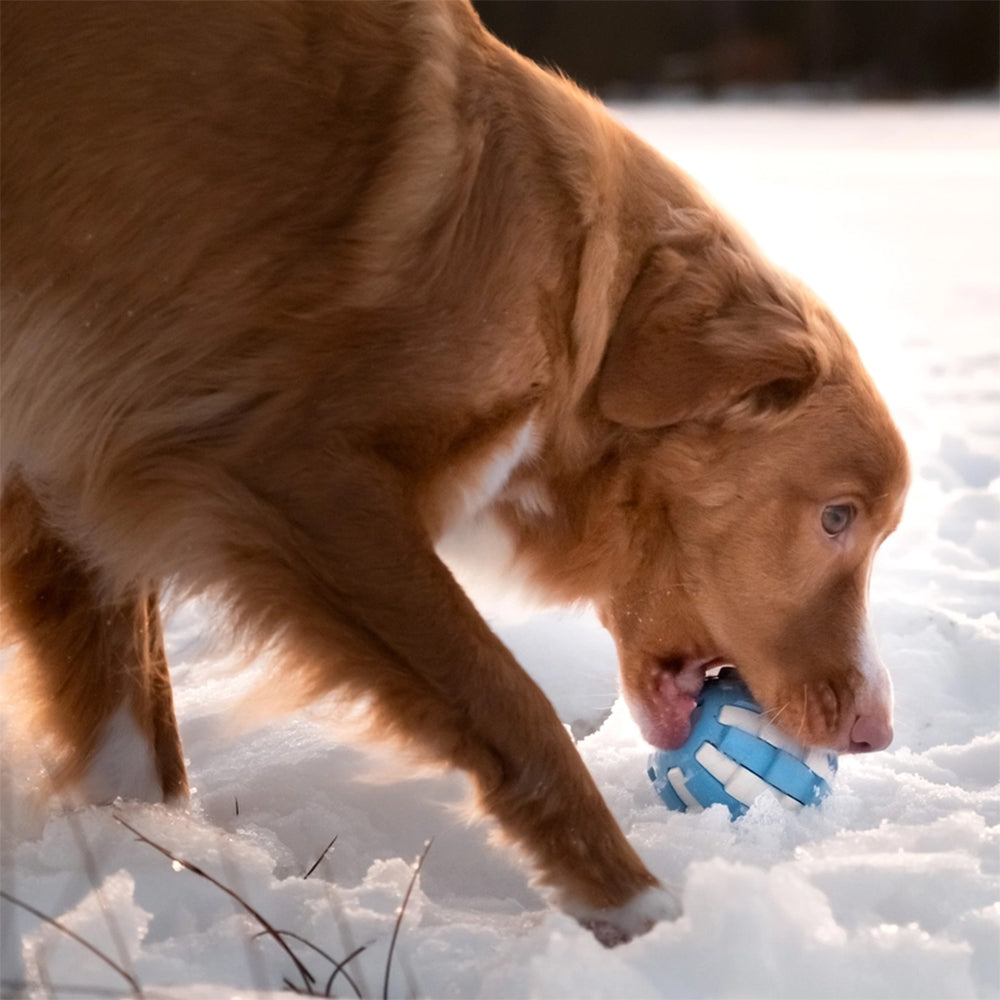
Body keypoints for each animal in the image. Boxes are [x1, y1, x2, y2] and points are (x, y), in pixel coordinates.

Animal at [0, 1, 908, 944]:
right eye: (838, 517)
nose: (876, 731)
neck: (569, 286)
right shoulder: (298, 473)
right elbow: (512, 703)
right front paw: (635, 906)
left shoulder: (72, 449)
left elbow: (131, 733)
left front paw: (149, 856)